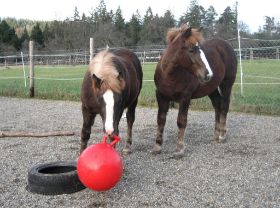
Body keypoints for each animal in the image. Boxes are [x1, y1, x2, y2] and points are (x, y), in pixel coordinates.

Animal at [153, 24, 236, 157]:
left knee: (224, 107)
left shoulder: (185, 97)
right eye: (191, 50)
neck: (169, 75)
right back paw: (216, 135)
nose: (208, 74)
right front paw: (157, 146)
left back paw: (222, 135)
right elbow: (161, 120)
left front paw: (179, 149)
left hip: (226, 85)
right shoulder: (161, 96)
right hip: (211, 89)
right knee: (217, 105)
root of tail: (226, 45)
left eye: (200, 49)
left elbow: (181, 121)